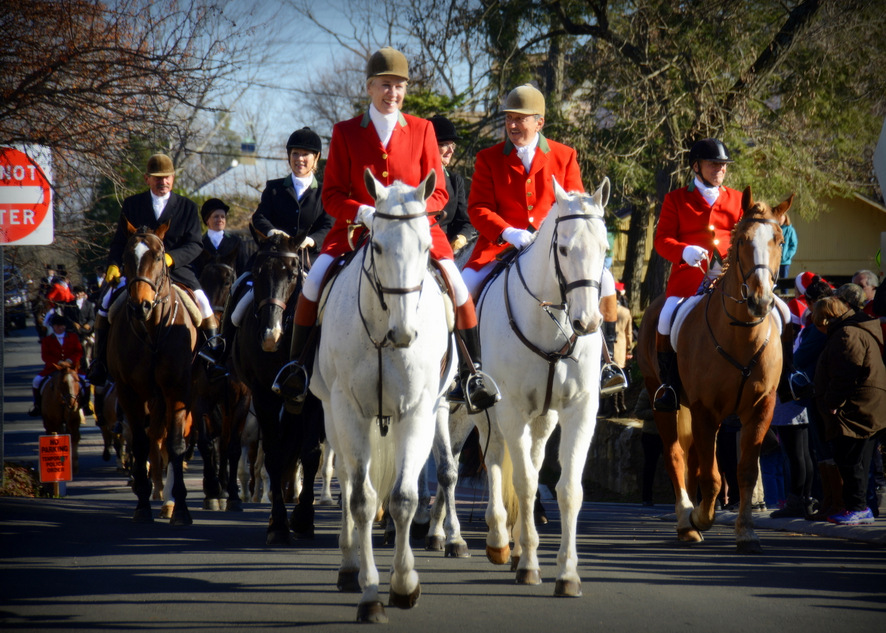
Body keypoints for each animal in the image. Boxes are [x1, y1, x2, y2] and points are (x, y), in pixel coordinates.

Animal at [106, 221, 199, 524]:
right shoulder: (129, 392)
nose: (140, 306)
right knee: (152, 439)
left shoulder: (177, 391)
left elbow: (175, 444)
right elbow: (140, 443)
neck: (153, 330)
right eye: (125, 257)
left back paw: (167, 497)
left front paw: (179, 507)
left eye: (159, 256)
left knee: (163, 440)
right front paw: (143, 504)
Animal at [229, 227, 326, 544]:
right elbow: (272, 456)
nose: (271, 335)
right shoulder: (263, 397)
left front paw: (304, 519)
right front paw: (279, 524)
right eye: (258, 271)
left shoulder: (314, 399)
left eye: (292, 273)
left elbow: (311, 454)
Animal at [310, 169, 454, 624]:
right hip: (331, 414)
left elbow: (404, 498)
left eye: (425, 246)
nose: (405, 333)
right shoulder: (348, 411)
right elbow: (360, 499)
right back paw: (348, 566)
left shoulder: (419, 412)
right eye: (375, 245)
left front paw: (404, 584)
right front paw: (371, 593)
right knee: (346, 480)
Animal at [458, 175, 612, 596]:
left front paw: (568, 573)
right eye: (563, 248)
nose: (588, 322)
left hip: (542, 418)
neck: (551, 322)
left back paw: (510, 543)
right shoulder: (510, 408)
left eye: (605, 249)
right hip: (475, 411)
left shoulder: (579, 411)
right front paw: (529, 564)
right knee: (489, 459)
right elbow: (525, 483)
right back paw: (488, 540)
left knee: (526, 456)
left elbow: (568, 489)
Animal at [640, 185, 792, 552]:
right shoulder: (705, 409)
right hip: (662, 398)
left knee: (694, 459)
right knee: (676, 456)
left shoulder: (760, 409)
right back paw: (686, 521)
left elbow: (745, 471)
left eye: (779, 240)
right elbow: (711, 475)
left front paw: (746, 532)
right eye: (742, 241)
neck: (741, 334)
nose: (760, 301)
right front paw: (701, 517)